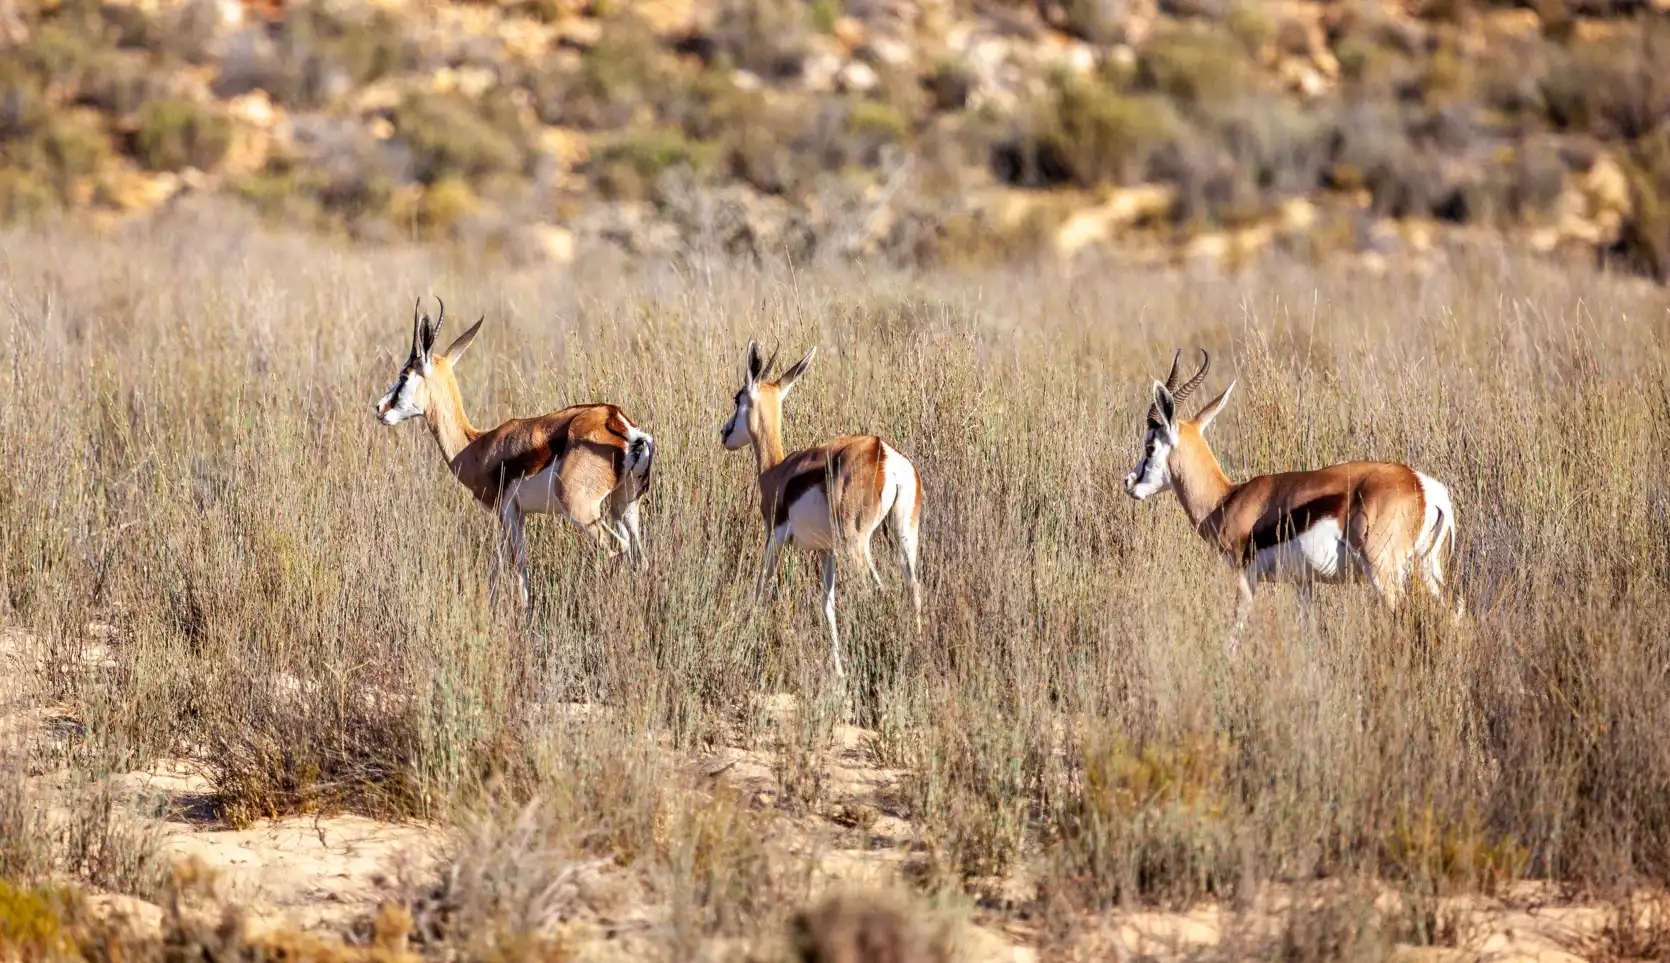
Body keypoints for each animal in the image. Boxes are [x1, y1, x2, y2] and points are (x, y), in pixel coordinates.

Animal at [372, 297, 651, 604]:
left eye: (404, 375)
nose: (380, 408)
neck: (476, 446)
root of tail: (619, 423)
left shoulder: (508, 512)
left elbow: (518, 569)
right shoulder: (517, 515)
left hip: (583, 510)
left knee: (617, 547)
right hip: (624, 506)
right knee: (640, 558)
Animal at [718, 342, 928, 670]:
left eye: (736, 398)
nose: (724, 433)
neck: (776, 471)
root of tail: (883, 452)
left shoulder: (774, 536)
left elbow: (760, 587)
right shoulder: (826, 550)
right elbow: (826, 605)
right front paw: (838, 672)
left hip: (855, 543)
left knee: (874, 589)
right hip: (903, 537)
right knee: (913, 589)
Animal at [1122, 348, 1462, 640]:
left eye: (1149, 446)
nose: (1129, 482)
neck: (1226, 500)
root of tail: (1422, 485)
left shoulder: (1245, 579)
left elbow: (1234, 633)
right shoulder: (1302, 583)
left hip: (1384, 572)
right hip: (1427, 568)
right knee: (1454, 612)